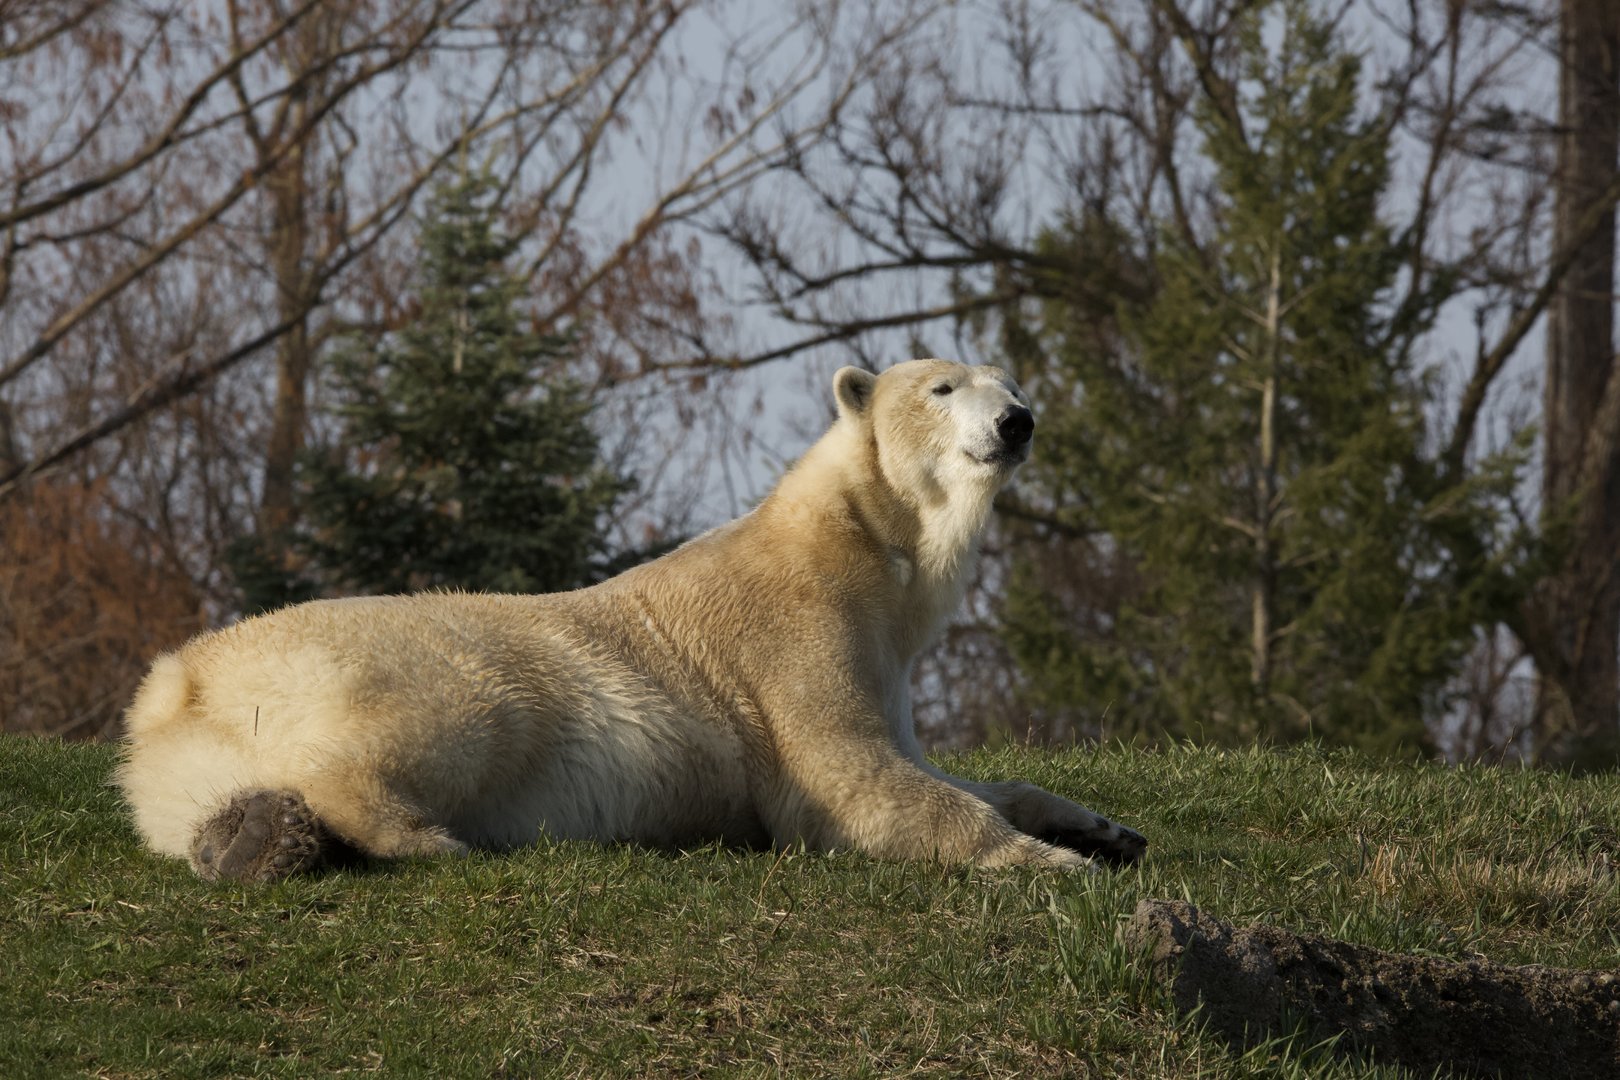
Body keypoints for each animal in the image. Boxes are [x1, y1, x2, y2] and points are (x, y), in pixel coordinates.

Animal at [117, 359, 1147, 882]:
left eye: (1010, 383)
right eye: (942, 388)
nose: (1017, 421)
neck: (857, 542)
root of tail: (179, 679)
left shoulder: (884, 657)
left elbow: (940, 768)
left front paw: (1102, 828)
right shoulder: (793, 635)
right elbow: (852, 780)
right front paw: (1054, 864)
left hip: (177, 764)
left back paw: (251, 840)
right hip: (410, 663)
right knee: (448, 720)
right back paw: (417, 835)